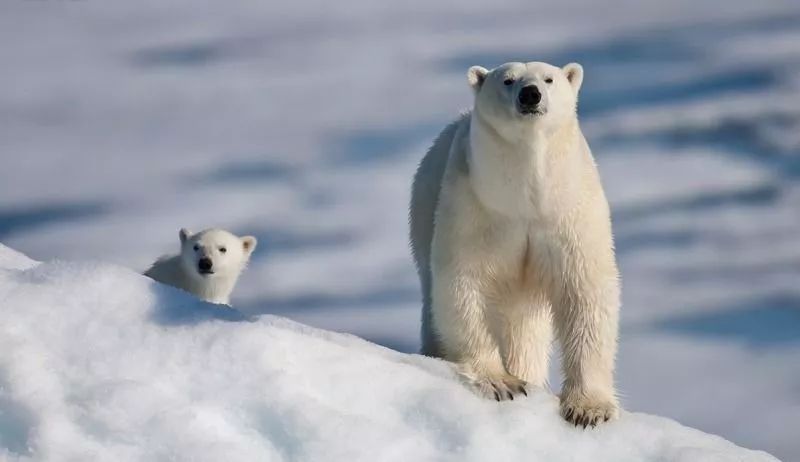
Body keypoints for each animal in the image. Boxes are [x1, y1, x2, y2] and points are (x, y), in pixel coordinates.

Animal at [410, 60, 620, 426]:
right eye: (508, 80)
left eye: (549, 79)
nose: (530, 94)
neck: (526, 197)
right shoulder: (476, 206)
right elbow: (464, 283)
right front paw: (501, 382)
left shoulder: (569, 211)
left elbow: (586, 291)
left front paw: (588, 409)